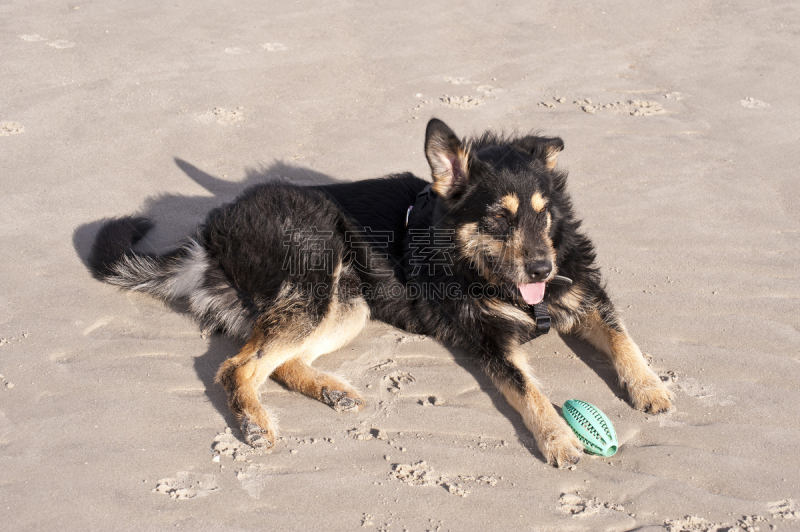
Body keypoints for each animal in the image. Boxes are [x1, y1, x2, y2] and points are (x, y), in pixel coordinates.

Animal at [89, 119, 676, 466]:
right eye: (498, 218)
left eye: (543, 213)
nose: (542, 266)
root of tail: (209, 237)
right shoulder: (488, 340)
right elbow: (527, 389)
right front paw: (557, 439)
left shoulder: (587, 295)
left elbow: (624, 339)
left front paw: (650, 388)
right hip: (315, 277)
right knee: (237, 365)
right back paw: (256, 424)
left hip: (347, 303)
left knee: (276, 361)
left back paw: (331, 390)